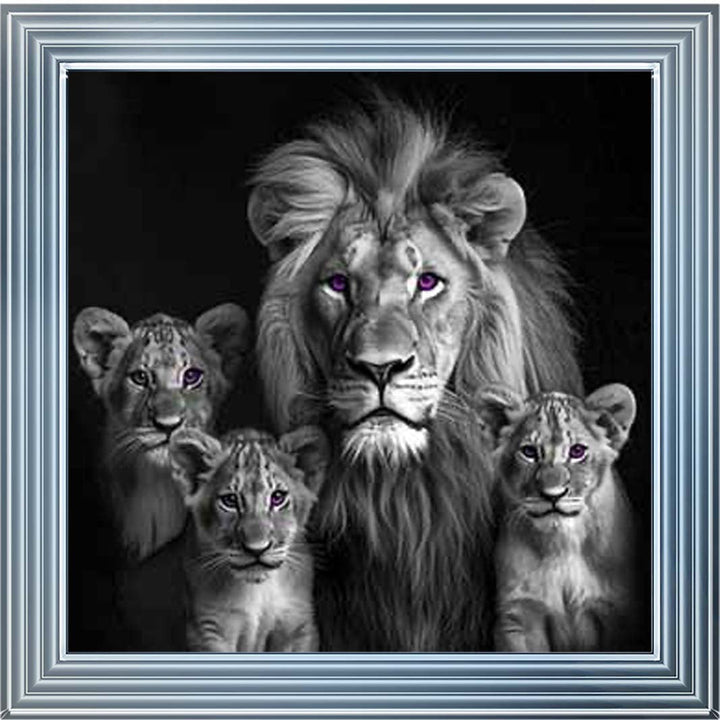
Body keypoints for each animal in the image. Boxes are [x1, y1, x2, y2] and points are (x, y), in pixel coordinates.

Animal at [169, 426, 328, 652]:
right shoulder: (208, 630)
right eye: (230, 500)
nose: (257, 549)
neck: (258, 590)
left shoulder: (298, 626)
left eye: (277, 497)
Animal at [475, 383, 637, 651]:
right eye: (529, 452)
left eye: (577, 451)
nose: (553, 494)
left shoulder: (618, 612)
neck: (562, 543)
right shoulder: (519, 615)